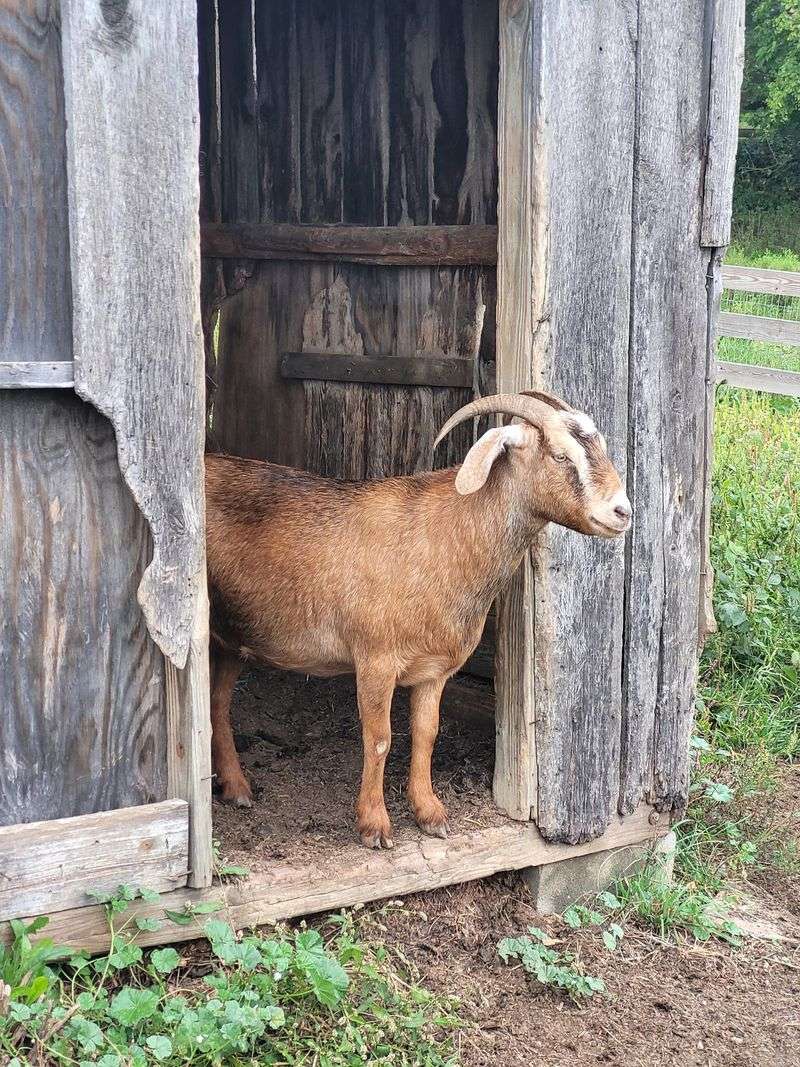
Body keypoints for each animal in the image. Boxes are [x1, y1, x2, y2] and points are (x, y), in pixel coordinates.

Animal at [205, 391, 631, 848]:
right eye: (560, 455)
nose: (622, 512)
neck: (443, 536)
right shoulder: (375, 659)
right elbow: (379, 739)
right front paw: (374, 825)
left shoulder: (435, 669)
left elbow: (427, 734)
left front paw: (430, 813)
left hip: (231, 639)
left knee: (217, 704)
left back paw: (236, 788)